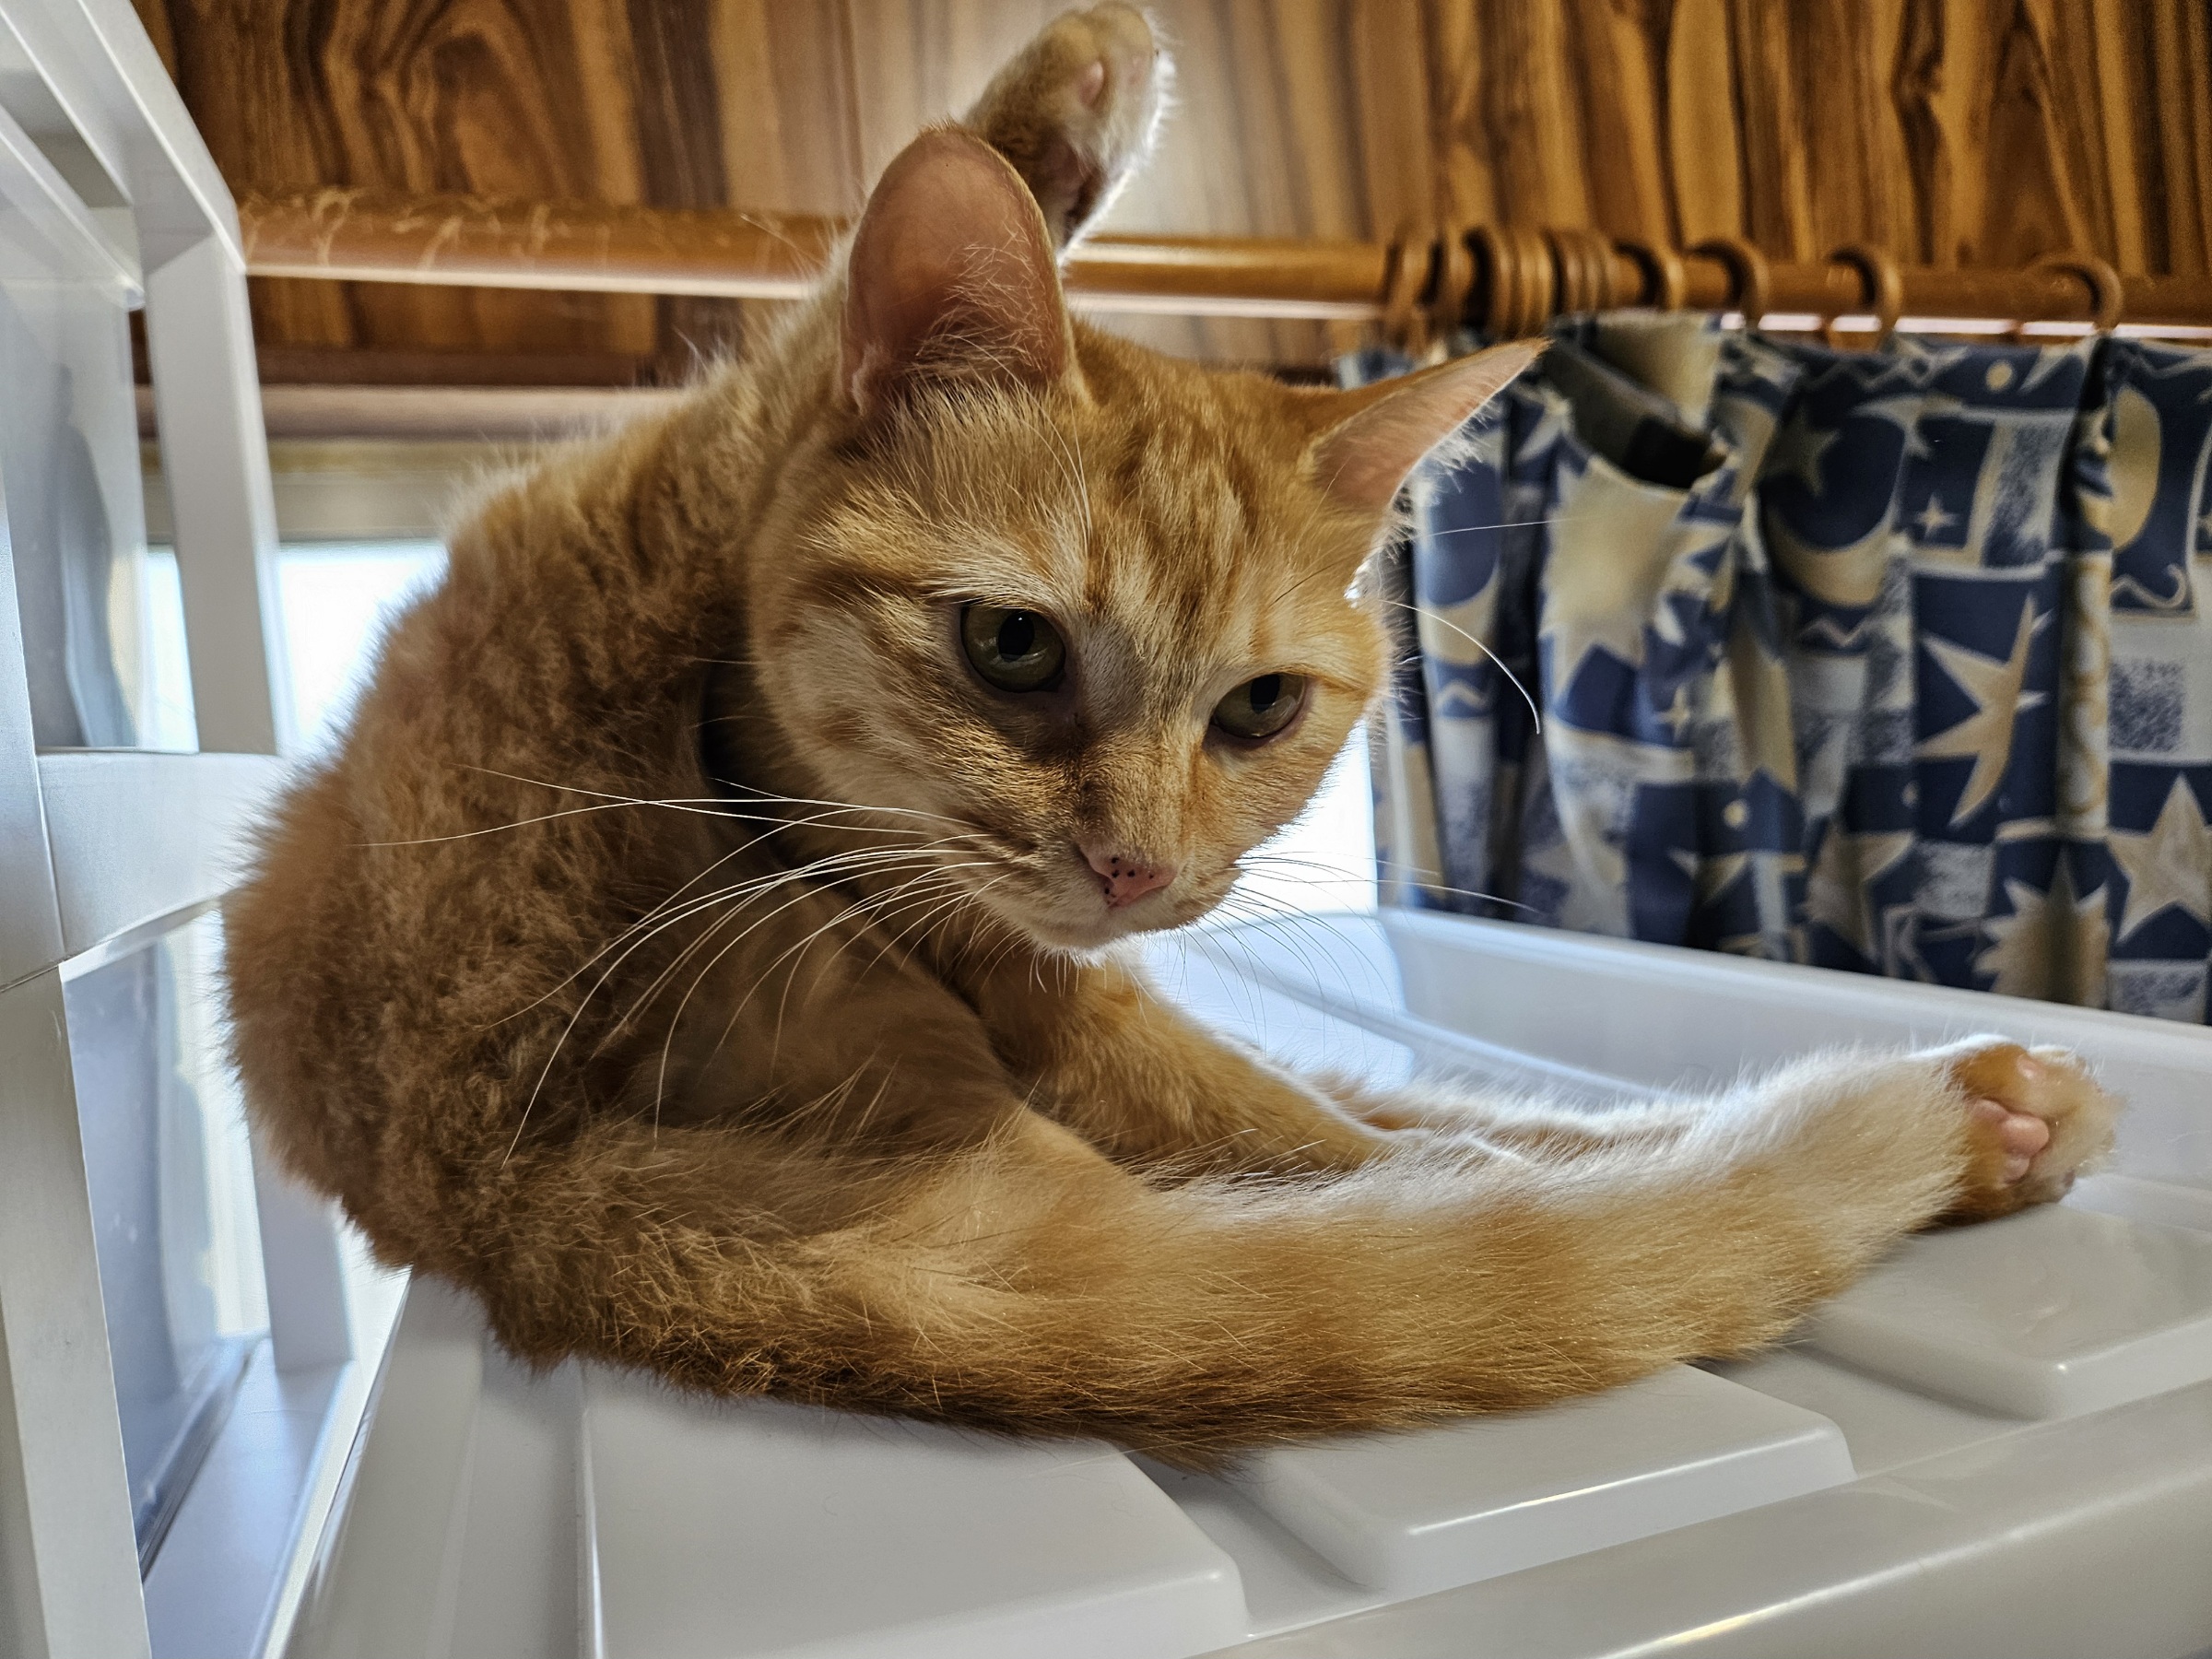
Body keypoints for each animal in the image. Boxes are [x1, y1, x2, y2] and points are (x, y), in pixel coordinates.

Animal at [226, 5, 2120, 1459]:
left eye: (1261, 707)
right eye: (1009, 648)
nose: (1134, 867)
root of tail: (482, 1198)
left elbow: (1353, 1112)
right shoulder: (1009, 961)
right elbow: (1320, 1137)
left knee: (1443, 1121)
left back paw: (1991, 1112)